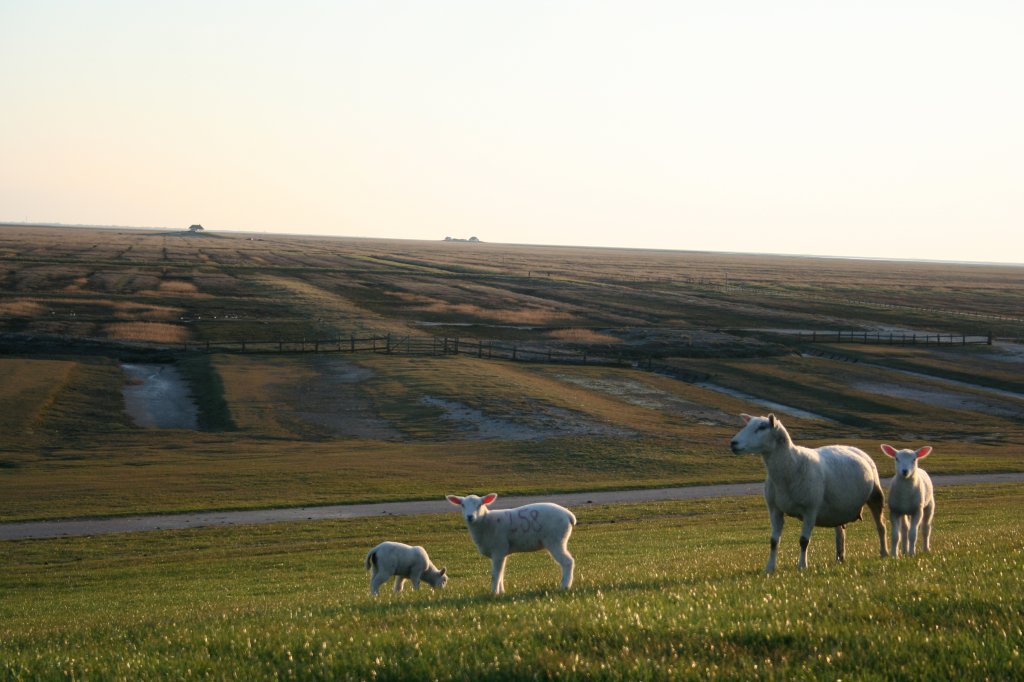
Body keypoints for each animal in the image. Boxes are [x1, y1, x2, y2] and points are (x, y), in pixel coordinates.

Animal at [446, 491, 581, 593]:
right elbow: (501, 573)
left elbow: (495, 575)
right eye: (462, 505)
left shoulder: (498, 549)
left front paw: (494, 593)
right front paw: (501, 592)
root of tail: (569, 515)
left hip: (556, 540)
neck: (486, 522)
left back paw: (564, 586)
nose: (470, 517)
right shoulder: (502, 552)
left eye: (480, 504)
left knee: (568, 562)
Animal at [729, 411, 888, 569]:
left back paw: (884, 553)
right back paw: (839, 558)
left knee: (881, 526)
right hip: (838, 509)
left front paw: (802, 566)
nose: (733, 443)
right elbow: (773, 541)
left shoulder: (810, 510)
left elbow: (804, 540)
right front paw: (770, 568)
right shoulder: (774, 509)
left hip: (875, 495)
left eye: (762, 427)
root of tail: (856, 449)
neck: (791, 467)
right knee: (840, 533)